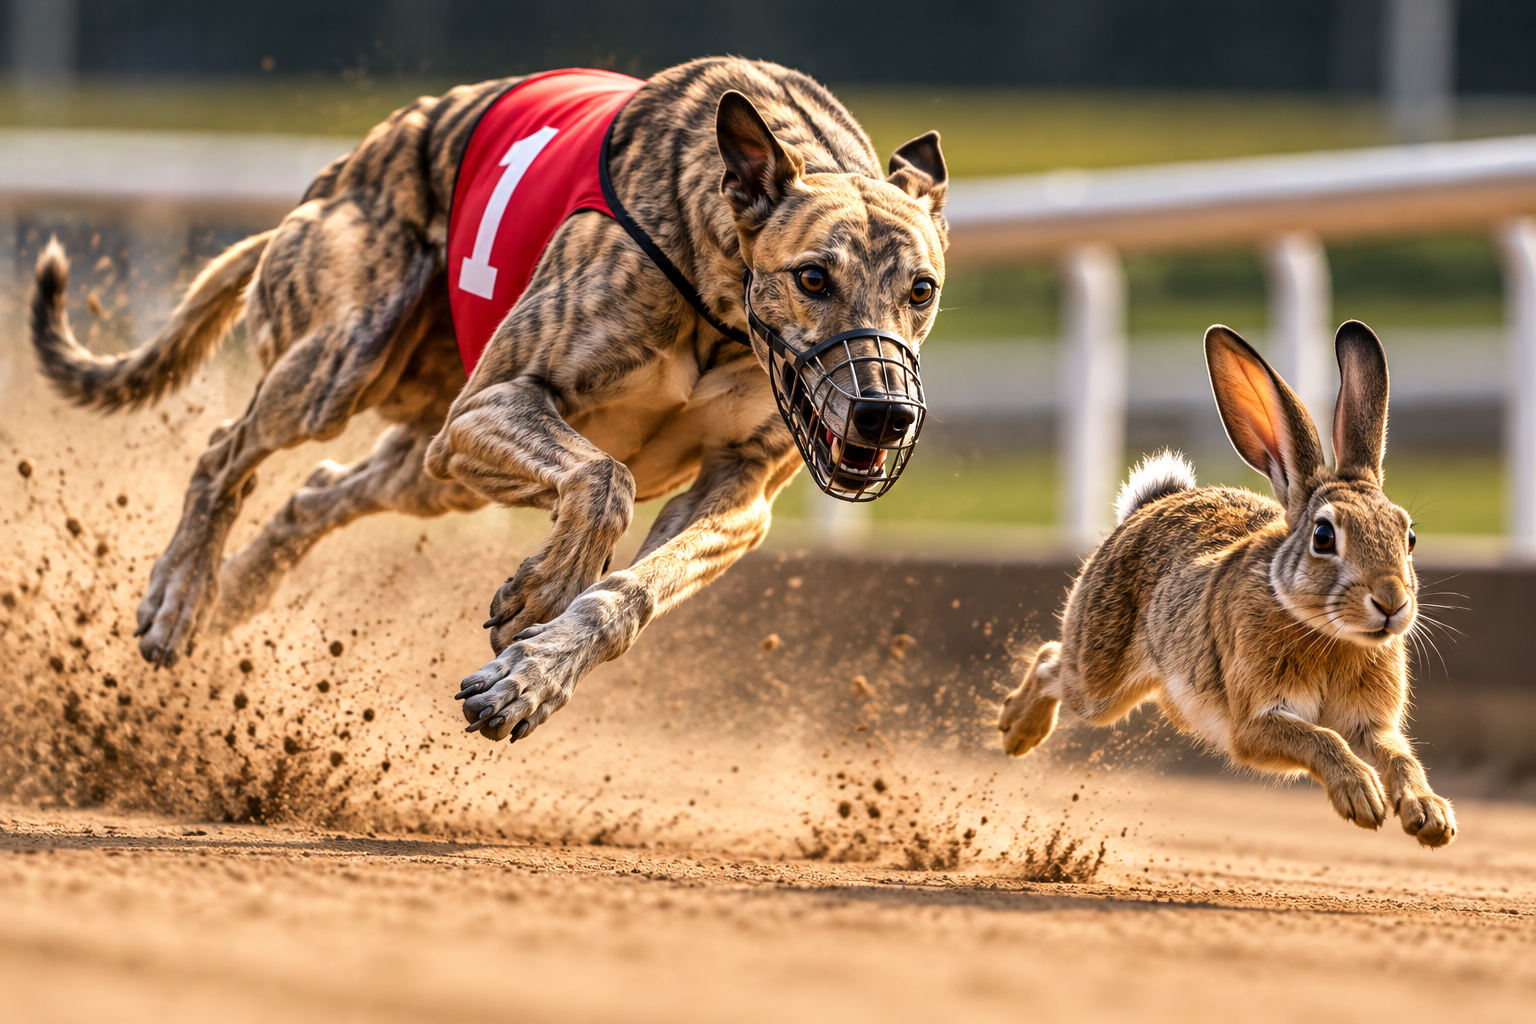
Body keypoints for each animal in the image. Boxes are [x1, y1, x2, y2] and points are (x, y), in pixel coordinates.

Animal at [997, 321, 1455, 847]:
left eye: (1409, 535)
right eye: (1323, 536)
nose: (1391, 602)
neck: (1325, 633)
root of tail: (1147, 508)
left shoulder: (1371, 726)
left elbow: (1399, 756)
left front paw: (1430, 817)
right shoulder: (1254, 723)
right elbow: (1323, 739)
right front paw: (1362, 798)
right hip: (1099, 680)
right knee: (1051, 662)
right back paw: (1016, 731)